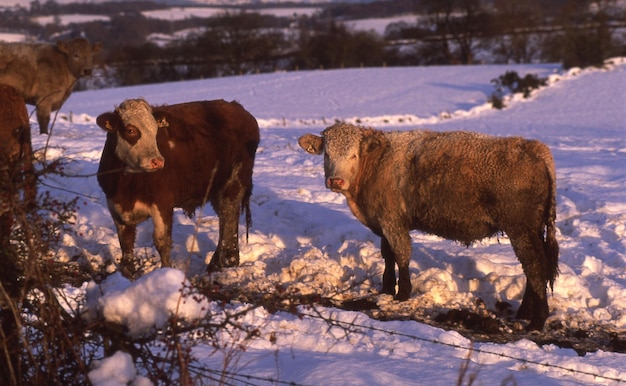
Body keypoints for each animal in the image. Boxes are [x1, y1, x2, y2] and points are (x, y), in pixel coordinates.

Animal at [94, 98, 258, 276]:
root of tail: (236, 107)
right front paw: (127, 274)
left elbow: (162, 242)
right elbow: (126, 243)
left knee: (228, 219)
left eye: (155, 131)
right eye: (130, 130)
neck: (127, 184)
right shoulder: (115, 207)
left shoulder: (162, 203)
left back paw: (225, 263)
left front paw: (165, 273)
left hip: (235, 182)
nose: (157, 161)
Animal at [300, 123, 560, 328]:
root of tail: (535, 149)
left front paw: (402, 293)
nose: (336, 181)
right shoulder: (383, 223)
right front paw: (386, 289)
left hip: (520, 231)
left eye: (353, 155)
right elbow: (387, 255)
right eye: (327, 154)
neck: (376, 164)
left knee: (535, 267)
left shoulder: (394, 222)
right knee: (534, 268)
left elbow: (402, 254)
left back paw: (537, 321)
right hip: (532, 231)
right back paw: (525, 312)